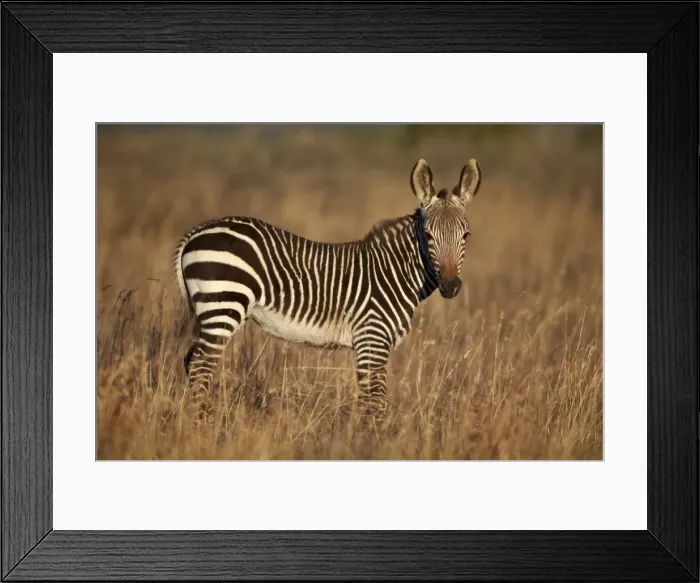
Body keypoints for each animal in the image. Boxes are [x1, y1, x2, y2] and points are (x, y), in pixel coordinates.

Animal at [173, 157, 482, 423]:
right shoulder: (372, 338)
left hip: (209, 311)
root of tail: (196, 232)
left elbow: (371, 400)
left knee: (192, 362)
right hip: (223, 305)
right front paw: (373, 442)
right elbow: (375, 402)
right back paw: (204, 426)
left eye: (466, 235)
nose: (451, 286)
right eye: (428, 235)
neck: (394, 272)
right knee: (201, 368)